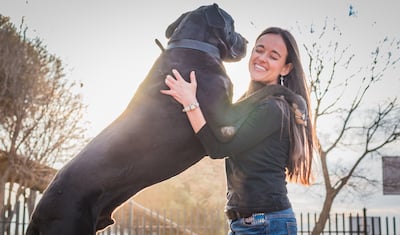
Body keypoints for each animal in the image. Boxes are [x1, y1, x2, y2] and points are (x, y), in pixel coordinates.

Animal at [25, 4, 304, 235]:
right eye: (232, 25)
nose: (247, 41)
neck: (192, 45)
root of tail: (37, 213)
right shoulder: (226, 124)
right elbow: (272, 89)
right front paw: (299, 104)